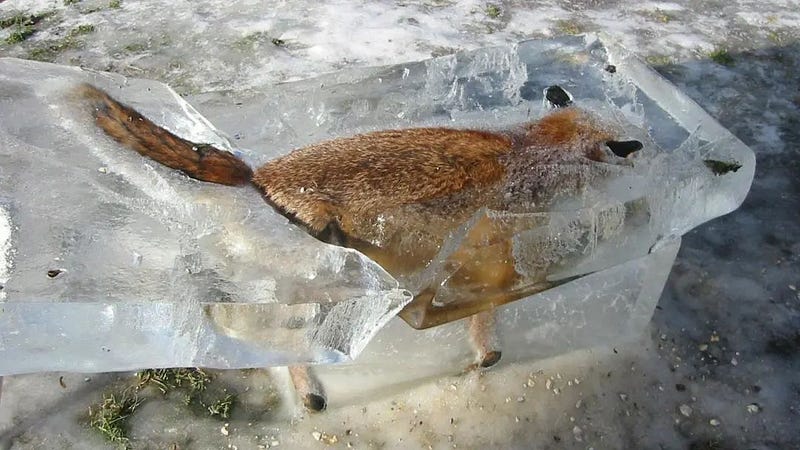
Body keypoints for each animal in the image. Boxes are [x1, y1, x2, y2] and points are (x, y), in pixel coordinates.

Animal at [75, 82, 636, 414]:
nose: (646, 146)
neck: (535, 147)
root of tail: (256, 176)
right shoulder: (495, 252)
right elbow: (489, 314)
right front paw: (487, 354)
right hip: (320, 288)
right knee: (275, 341)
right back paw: (308, 394)